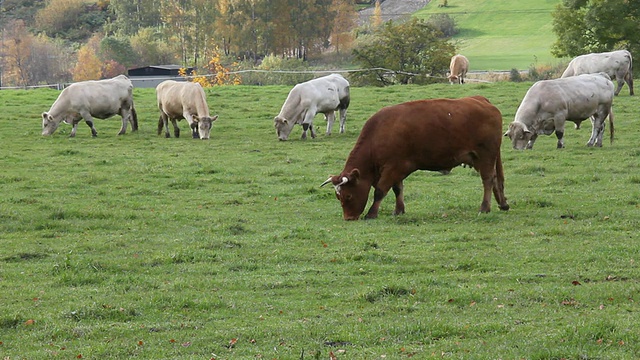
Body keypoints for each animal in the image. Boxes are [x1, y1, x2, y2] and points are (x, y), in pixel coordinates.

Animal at [322, 95, 508, 219]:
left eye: (348, 196)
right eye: (338, 196)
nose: (349, 218)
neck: (378, 136)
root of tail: (481, 100)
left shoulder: (392, 168)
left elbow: (380, 191)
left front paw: (372, 213)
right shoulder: (395, 170)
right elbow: (398, 189)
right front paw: (398, 210)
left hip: (485, 156)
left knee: (488, 180)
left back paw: (484, 207)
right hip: (482, 158)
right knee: (495, 179)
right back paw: (502, 204)